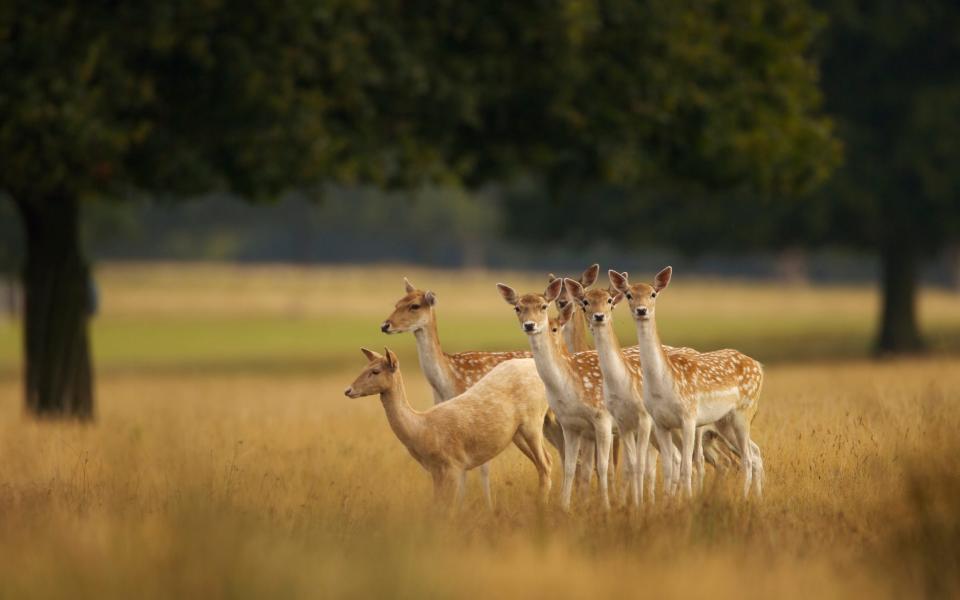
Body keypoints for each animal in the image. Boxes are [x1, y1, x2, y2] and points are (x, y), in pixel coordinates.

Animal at [346, 350, 556, 508]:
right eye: (364, 367)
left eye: (375, 371)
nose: (348, 390)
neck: (422, 429)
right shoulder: (435, 470)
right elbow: (437, 506)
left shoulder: (453, 464)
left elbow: (447, 509)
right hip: (517, 433)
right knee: (544, 463)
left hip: (533, 421)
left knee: (546, 463)